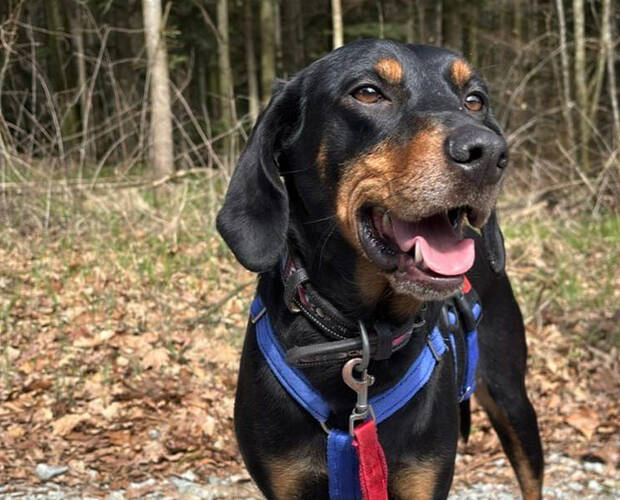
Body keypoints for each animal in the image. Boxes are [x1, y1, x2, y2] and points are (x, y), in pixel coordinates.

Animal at [217, 39, 543, 500]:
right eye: (368, 93)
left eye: (475, 100)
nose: (489, 153)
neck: (359, 337)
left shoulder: (421, 478)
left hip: (511, 397)